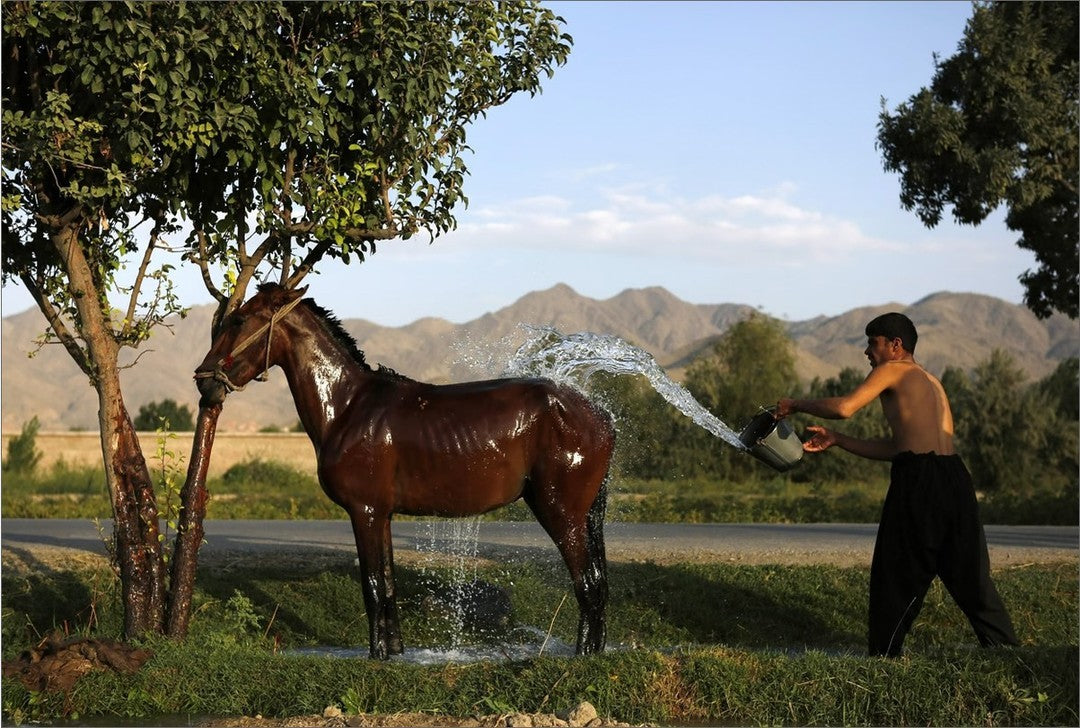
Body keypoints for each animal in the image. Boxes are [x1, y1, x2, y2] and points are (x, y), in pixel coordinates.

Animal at [196, 282, 617, 656]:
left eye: (240, 320)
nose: (203, 381)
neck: (347, 406)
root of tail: (598, 414)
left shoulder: (364, 512)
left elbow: (371, 585)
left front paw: (377, 656)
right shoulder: (382, 514)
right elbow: (388, 584)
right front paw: (395, 650)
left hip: (560, 512)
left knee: (588, 584)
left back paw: (583, 657)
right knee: (598, 583)